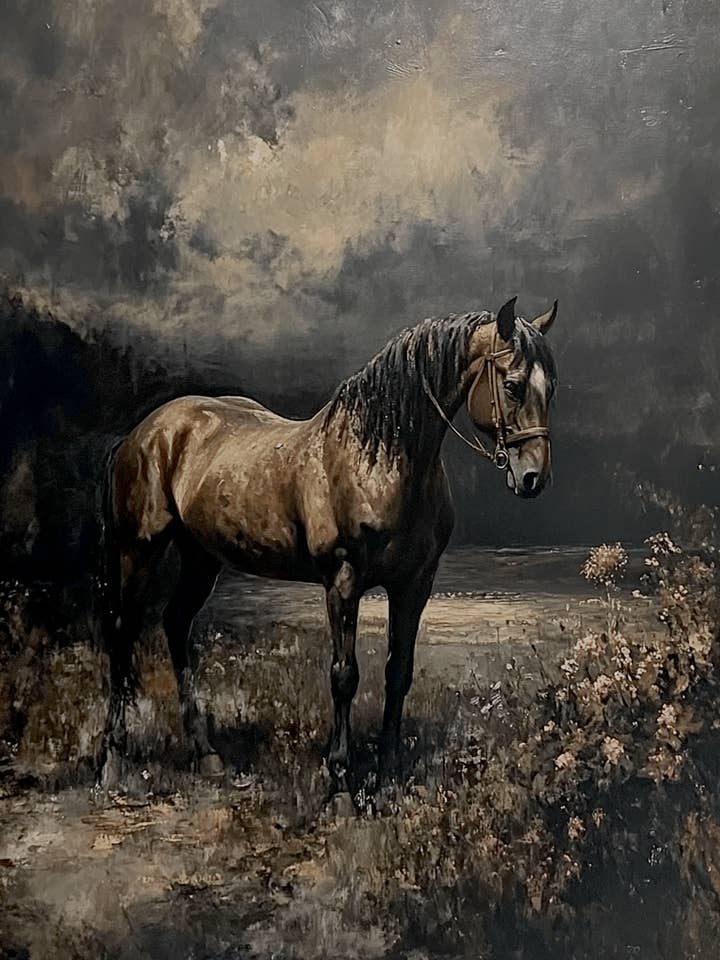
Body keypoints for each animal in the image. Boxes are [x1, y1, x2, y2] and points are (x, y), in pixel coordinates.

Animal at [99, 296, 558, 795]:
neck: (379, 461)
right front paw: (339, 778)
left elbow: (398, 673)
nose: (533, 478)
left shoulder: (414, 585)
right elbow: (344, 676)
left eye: (551, 388)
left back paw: (206, 755)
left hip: (202, 557)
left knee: (177, 625)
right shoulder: (343, 581)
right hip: (140, 550)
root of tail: (144, 432)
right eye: (512, 386)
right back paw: (114, 759)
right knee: (123, 632)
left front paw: (388, 771)